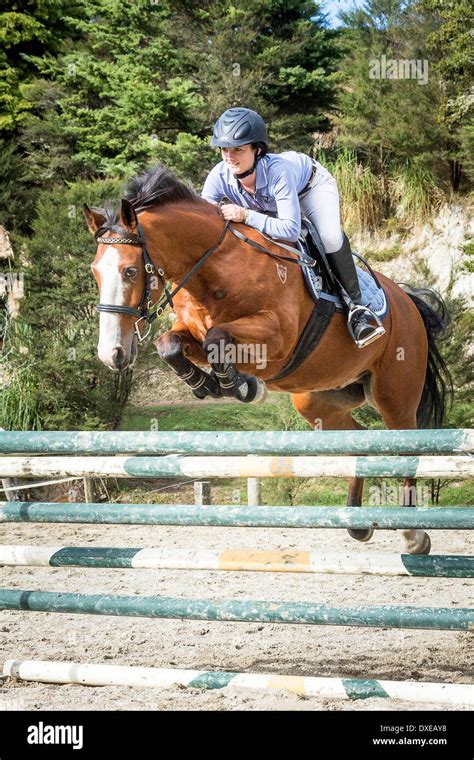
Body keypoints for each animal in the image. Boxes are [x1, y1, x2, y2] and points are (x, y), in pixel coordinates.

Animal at [84, 164, 452, 556]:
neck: (214, 269)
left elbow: (218, 339)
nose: (112, 353)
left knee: (405, 448)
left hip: (394, 396)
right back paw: (357, 524)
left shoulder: (275, 338)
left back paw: (413, 536)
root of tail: (408, 300)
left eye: (130, 271)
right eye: (95, 271)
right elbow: (170, 344)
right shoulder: (191, 332)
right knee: (360, 443)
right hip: (316, 400)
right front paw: (211, 384)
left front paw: (240, 385)